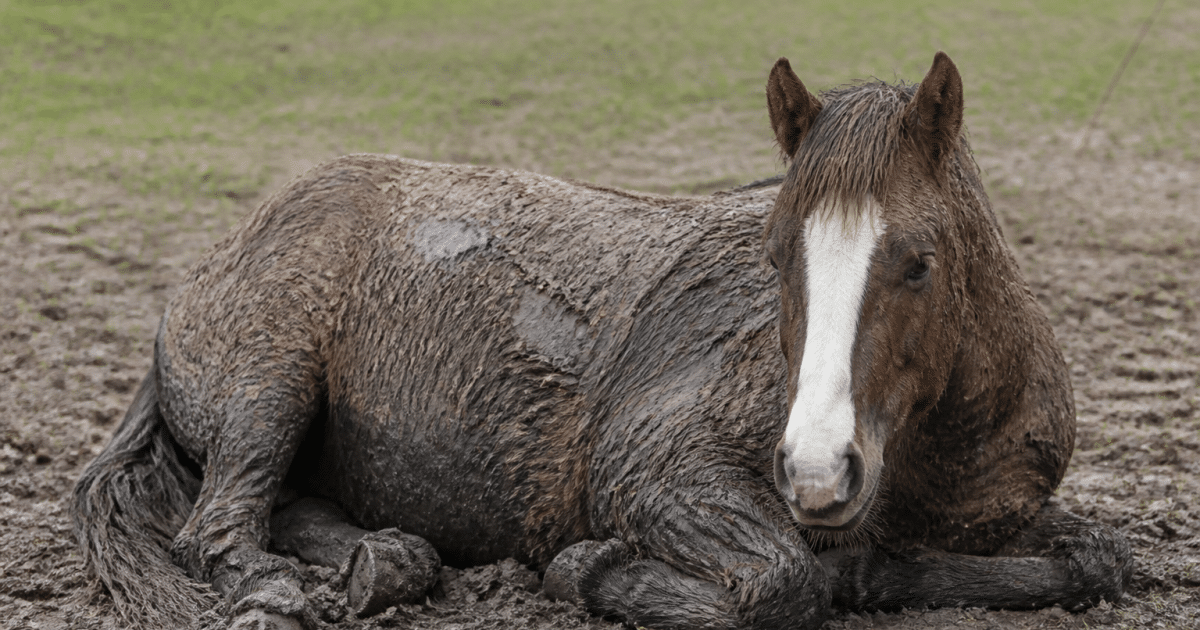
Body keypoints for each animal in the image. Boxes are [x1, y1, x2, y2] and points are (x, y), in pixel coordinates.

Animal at [72, 51, 1131, 630]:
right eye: (775, 253)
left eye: (917, 262)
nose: (819, 471)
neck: (930, 455)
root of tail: (222, 251)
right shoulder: (656, 466)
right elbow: (785, 581)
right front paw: (593, 569)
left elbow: (1099, 561)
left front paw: (878, 568)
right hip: (271, 385)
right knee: (216, 528)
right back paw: (282, 589)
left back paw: (387, 561)